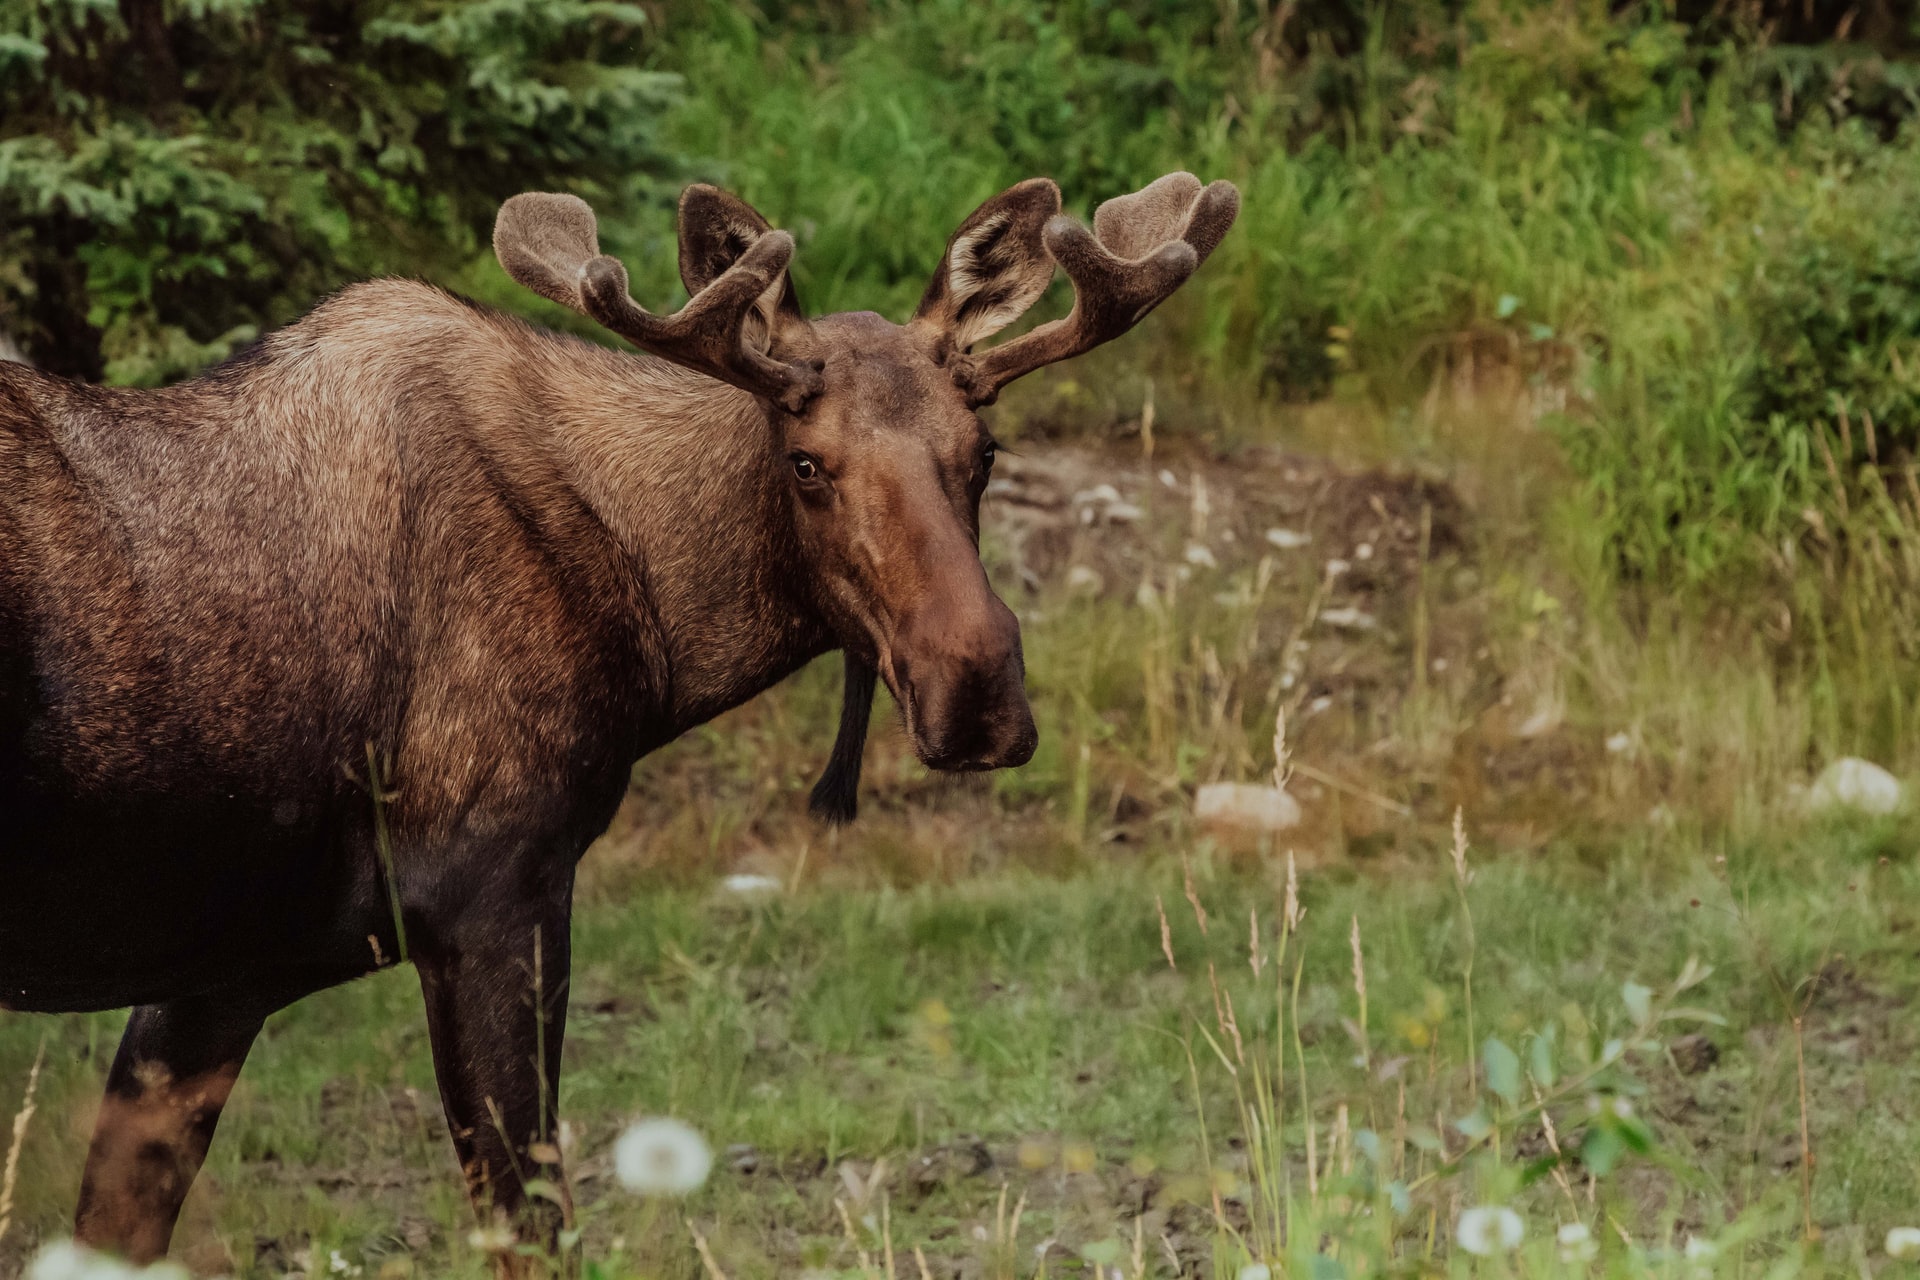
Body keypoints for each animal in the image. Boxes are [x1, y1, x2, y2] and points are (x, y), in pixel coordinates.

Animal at [0, 169, 1236, 1258]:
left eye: (985, 453)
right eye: (806, 463)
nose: (976, 691)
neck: (654, 634)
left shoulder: (220, 973)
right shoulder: (491, 895)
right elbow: (533, 1229)